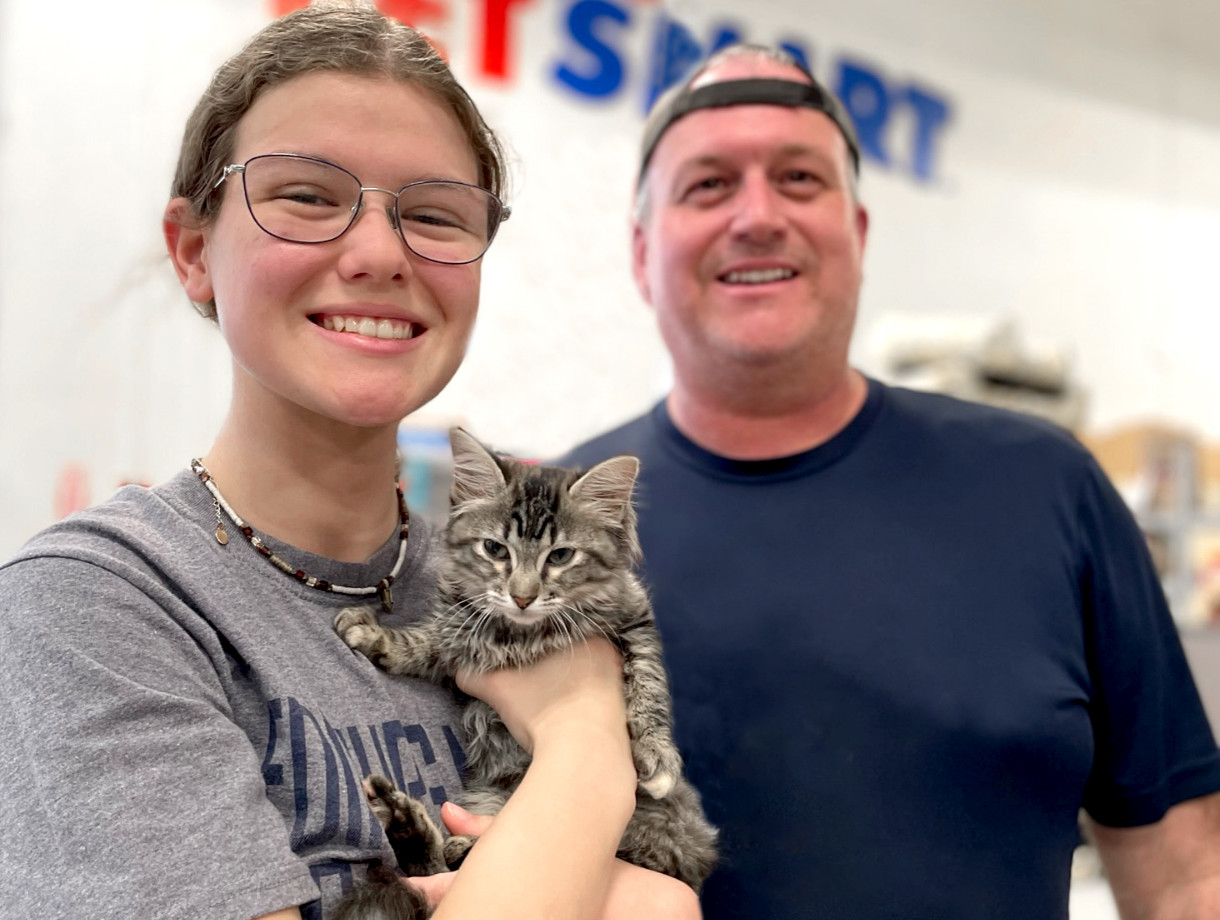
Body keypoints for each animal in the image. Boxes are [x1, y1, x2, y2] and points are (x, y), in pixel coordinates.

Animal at [329, 427, 717, 912]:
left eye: (561, 556)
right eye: (496, 549)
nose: (523, 596)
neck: (520, 634)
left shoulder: (636, 619)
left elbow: (648, 680)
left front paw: (656, 751)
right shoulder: (457, 638)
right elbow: (419, 643)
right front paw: (375, 634)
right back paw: (411, 829)